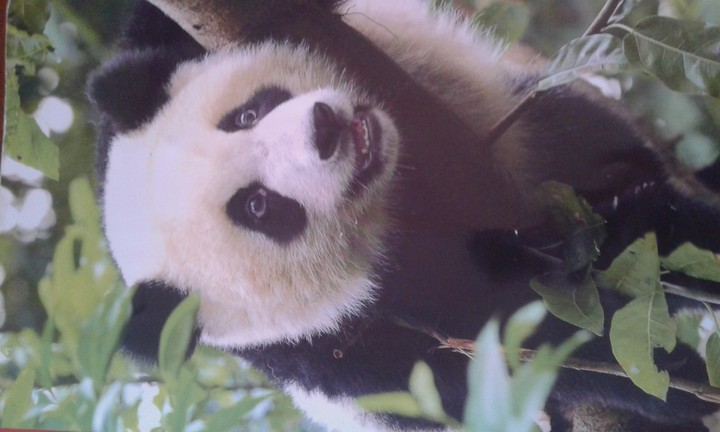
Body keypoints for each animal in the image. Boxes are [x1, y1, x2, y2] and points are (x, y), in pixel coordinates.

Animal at [88, 0, 720, 431]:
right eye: (258, 207)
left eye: (245, 115)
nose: (324, 128)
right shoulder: (341, 345)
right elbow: (504, 347)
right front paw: (674, 371)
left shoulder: (168, 41)